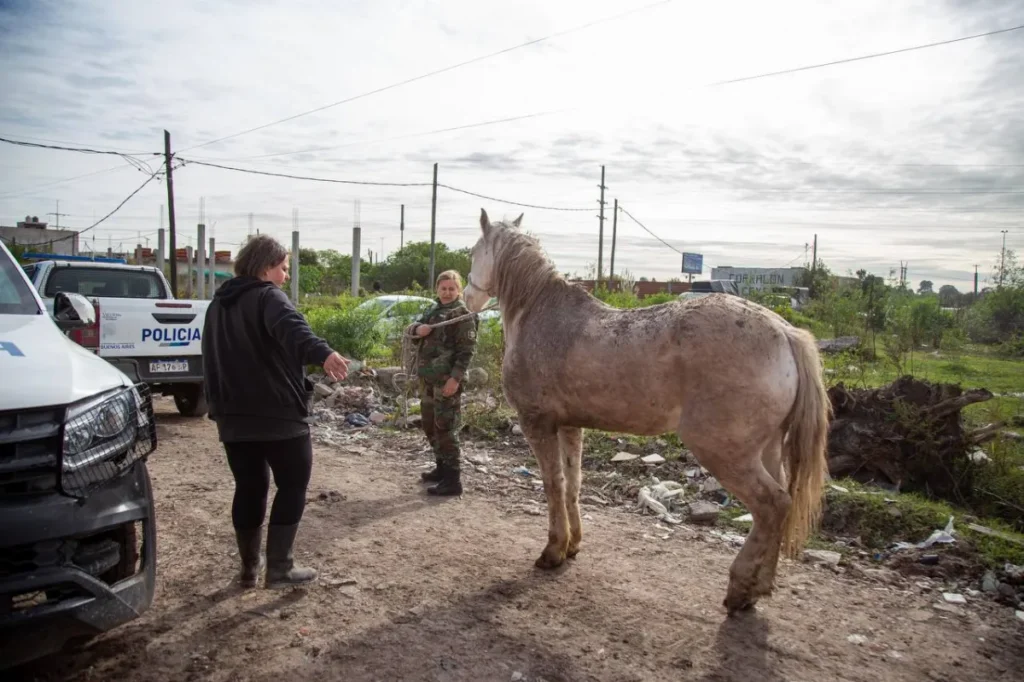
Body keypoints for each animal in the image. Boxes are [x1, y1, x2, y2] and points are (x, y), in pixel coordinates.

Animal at [462, 208, 831, 614]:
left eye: (474, 252)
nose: (466, 297)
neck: (539, 312)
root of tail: (784, 332)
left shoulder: (538, 424)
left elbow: (553, 485)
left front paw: (553, 550)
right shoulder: (571, 427)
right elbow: (573, 484)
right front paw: (573, 544)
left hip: (725, 453)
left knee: (772, 505)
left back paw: (740, 589)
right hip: (768, 449)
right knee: (781, 506)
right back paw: (759, 586)